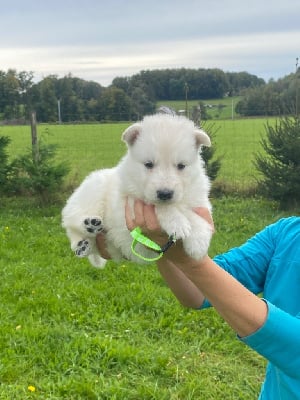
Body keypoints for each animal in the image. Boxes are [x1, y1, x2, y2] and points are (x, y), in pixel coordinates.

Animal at [62, 113, 213, 268]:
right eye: (149, 164)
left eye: (181, 166)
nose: (165, 194)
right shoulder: (130, 203)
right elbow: (158, 206)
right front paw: (178, 223)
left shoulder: (200, 201)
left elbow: (194, 215)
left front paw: (199, 242)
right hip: (92, 193)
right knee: (71, 222)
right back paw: (85, 233)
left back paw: (87, 243)